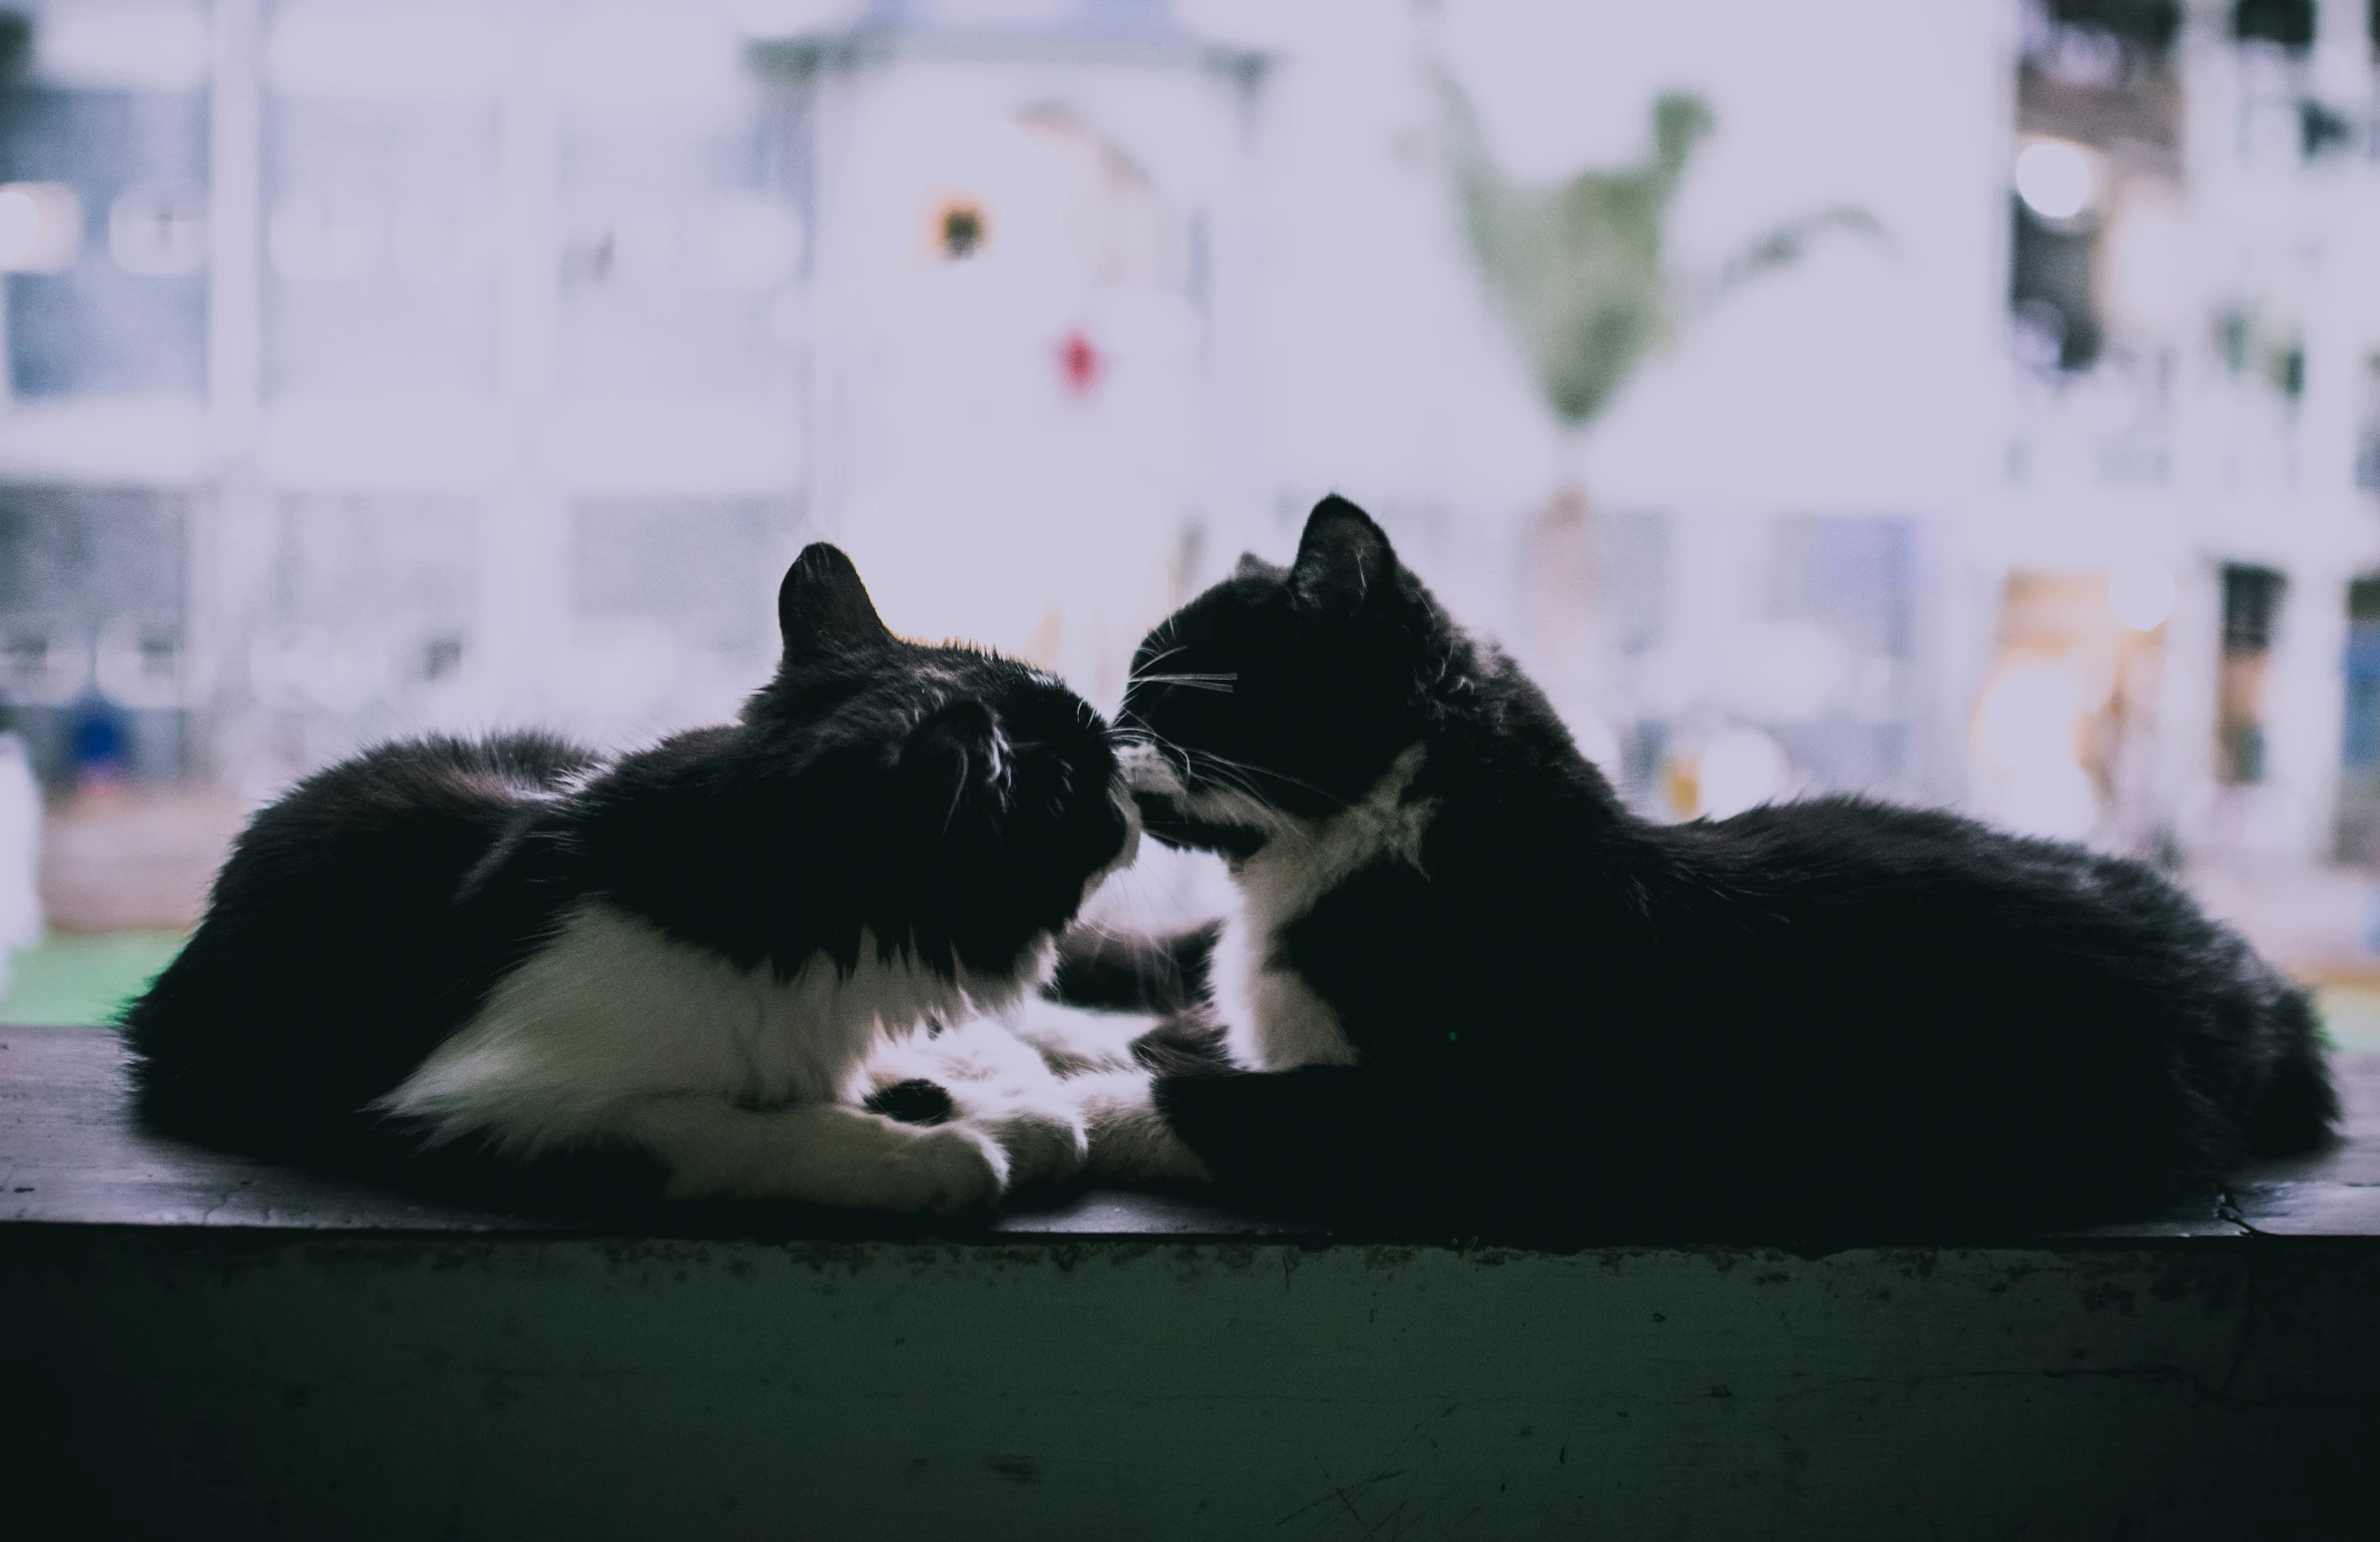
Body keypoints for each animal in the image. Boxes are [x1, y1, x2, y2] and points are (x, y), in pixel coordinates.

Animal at [123, 547, 1142, 1209]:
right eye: (1082, 781)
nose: (1134, 788)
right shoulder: (471, 1108)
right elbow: (742, 1129)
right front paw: (937, 1155)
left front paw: (996, 1109)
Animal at [1085, 499, 2341, 1237]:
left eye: (1170, 687)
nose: (1103, 725)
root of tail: (2260, 982)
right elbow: (1175, 977)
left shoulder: (1490, 1112)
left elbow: (1226, 1101)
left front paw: (1083, 1100)